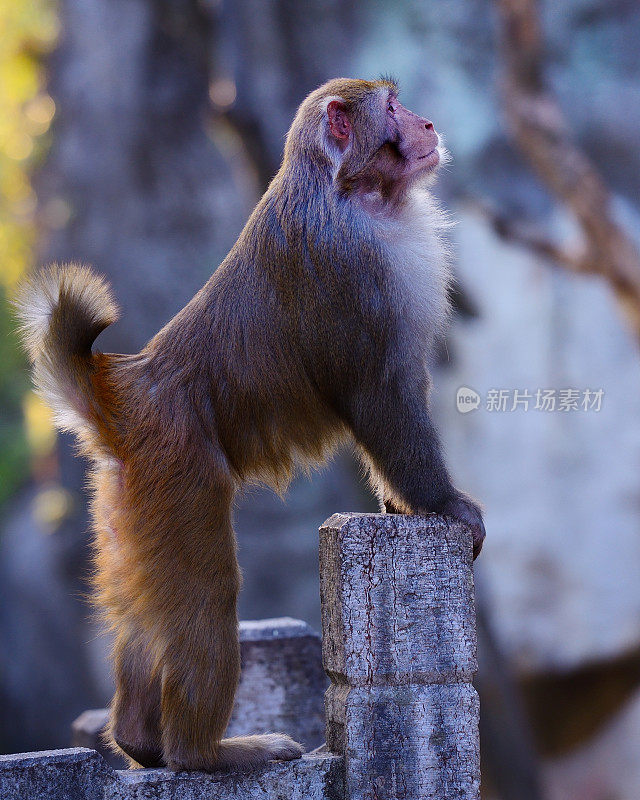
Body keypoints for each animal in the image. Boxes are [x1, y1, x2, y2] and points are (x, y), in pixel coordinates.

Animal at [15, 78, 484, 772]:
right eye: (393, 106)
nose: (425, 123)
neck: (348, 189)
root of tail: (130, 393)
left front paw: (401, 505)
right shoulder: (354, 269)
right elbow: (379, 396)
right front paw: (445, 505)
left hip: (128, 496)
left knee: (143, 600)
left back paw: (138, 740)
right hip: (179, 474)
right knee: (207, 595)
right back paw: (204, 753)